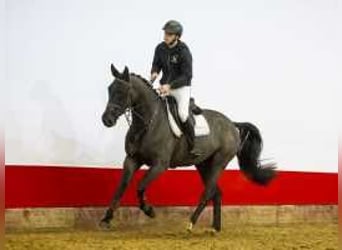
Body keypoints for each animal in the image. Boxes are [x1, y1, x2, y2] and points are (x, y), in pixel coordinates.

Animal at [99, 64, 276, 232]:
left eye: (122, 92)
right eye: (109, 89)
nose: (106, 120)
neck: (148, 124)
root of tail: (232, 124)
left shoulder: (159, 165)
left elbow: (140, 186)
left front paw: (149, 210)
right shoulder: (131, 160)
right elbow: (121, 187)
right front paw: (106, 219)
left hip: (219, 161)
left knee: (208, 192)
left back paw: (191, 223)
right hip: (204, 164)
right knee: (216, 193)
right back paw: (215, 228)